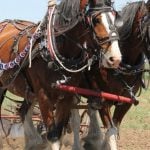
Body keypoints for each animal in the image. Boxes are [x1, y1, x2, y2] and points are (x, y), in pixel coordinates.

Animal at [0, 0, 122, 149]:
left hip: (30, 92)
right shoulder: (43, 96)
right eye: (96, 20)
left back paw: (33, 142)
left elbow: (58, 133)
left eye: (114, 17)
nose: (115, 58)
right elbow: (53, 136)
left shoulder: (67, 97)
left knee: (23, 111)